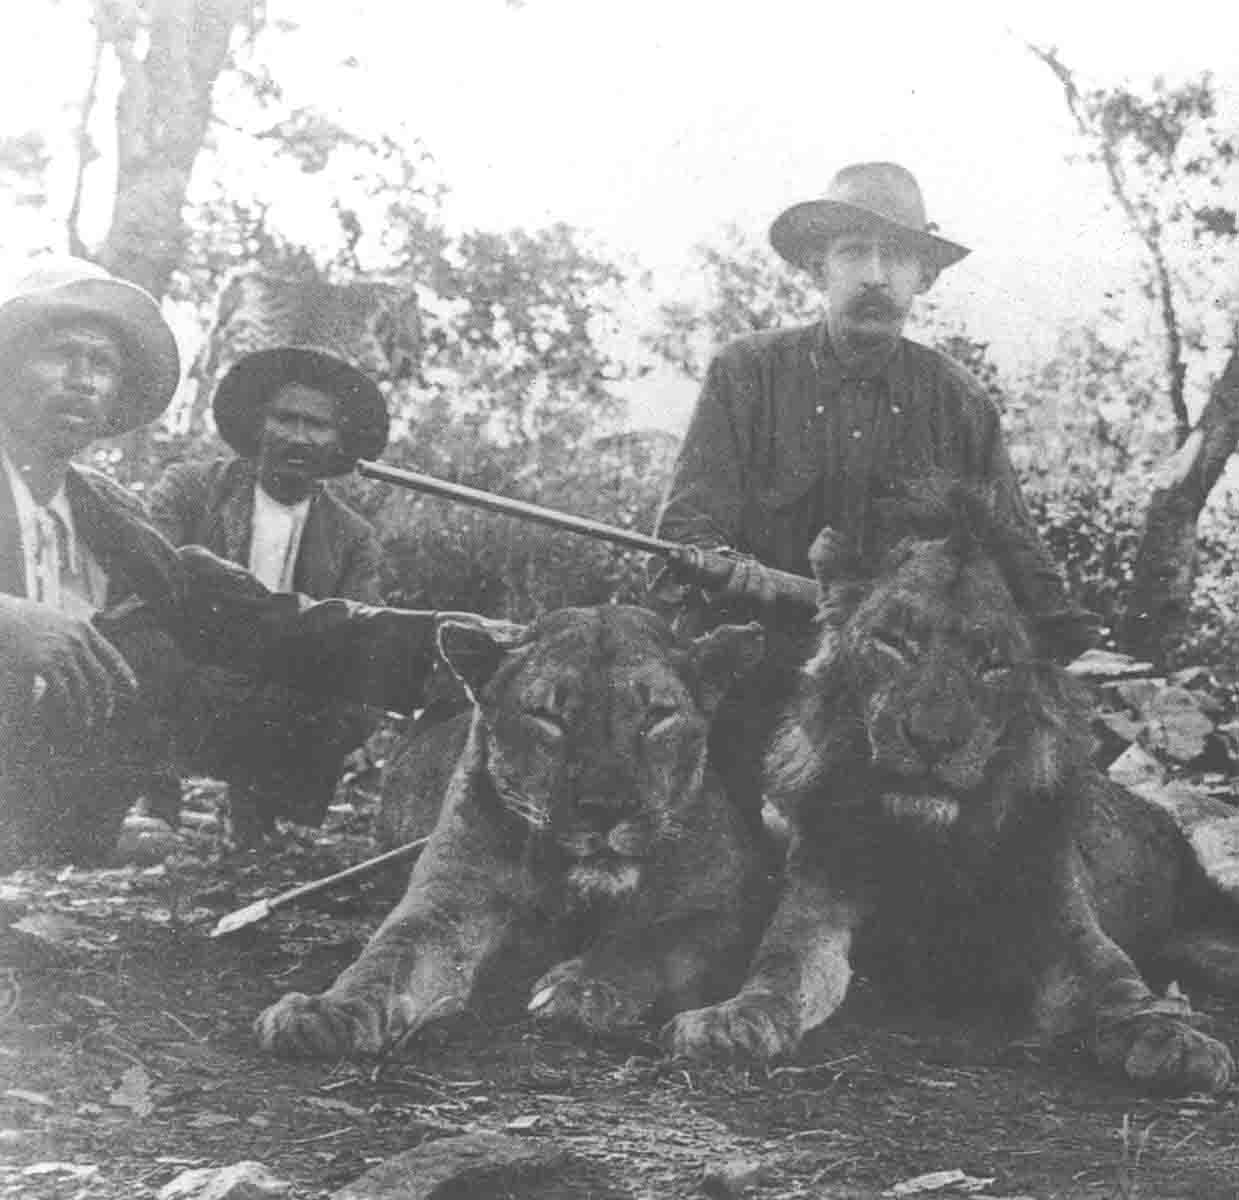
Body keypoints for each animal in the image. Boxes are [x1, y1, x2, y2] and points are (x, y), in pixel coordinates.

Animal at [257, 604, 768, 1055]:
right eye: (548, 716)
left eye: (657, 716)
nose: (606, 808)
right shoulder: (447, 901)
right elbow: (389, 956)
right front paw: (326, 1011)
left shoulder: (724, 911)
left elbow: (651, 943)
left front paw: (581, 989)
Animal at [674, 480, 1234, 1094]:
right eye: (894, 643)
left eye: (993, 664)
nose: (931, 740)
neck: (935, 843)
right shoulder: (815, 906)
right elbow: (778, 966)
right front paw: (733, 1018)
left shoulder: (1063, 921)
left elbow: (1121, 984)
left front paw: (1173, 1039)